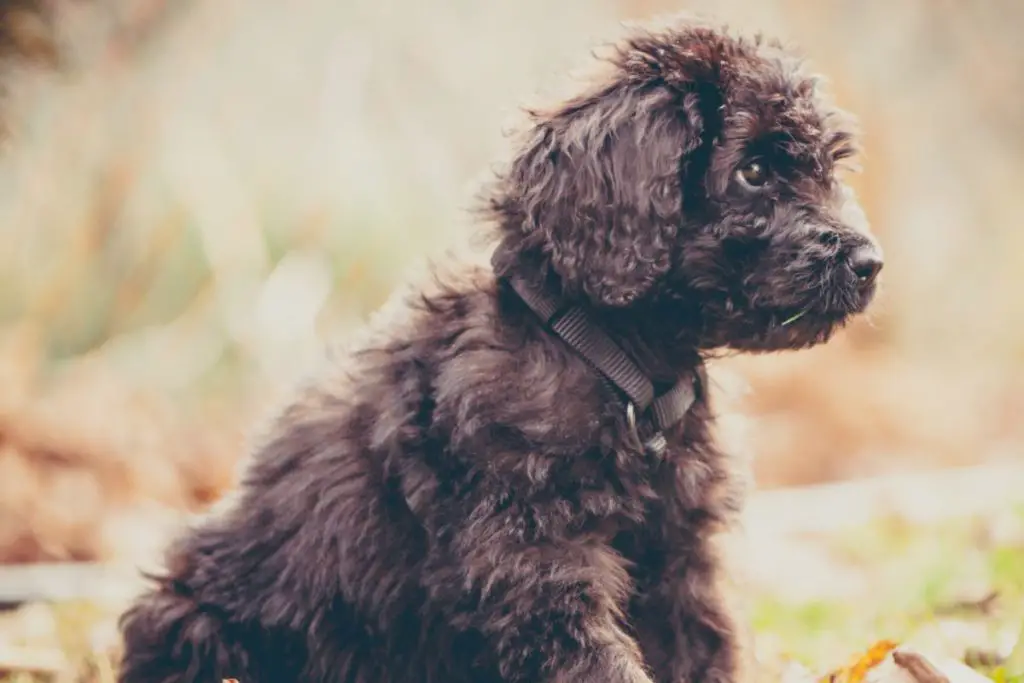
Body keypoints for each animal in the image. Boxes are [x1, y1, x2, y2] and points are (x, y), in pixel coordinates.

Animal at [117, 14, 880, 683]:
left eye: (827, 165)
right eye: (754, 170)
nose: (870, 262)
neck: (618, 368)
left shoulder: (676, 557)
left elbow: (701, 650)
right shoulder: (534, 556)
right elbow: (598, 662)